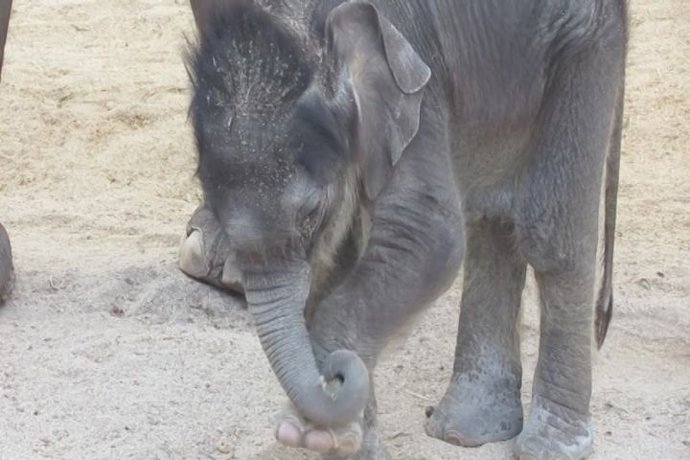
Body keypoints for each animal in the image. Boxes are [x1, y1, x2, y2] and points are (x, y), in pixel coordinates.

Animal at [179, 0, 627, 458]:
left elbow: (428, 238)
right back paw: (465, 428)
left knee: (548, 235)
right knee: (491, 213)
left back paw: (549, 444)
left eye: (310, 212)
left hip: (583, 40)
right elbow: (341, 261)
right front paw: (352, 443)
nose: (334, 375)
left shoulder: (415, 85)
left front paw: (312, 433)